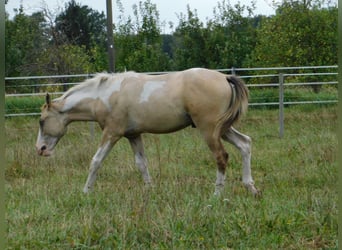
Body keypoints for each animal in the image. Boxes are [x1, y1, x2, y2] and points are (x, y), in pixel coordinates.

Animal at [35, 68, 260, 195]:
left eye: (42, 121)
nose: (40, 149)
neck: (105, 95)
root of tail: (225, 78)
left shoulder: (112, 133)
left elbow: (96, 161)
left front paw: (85, 192)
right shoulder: (133, 135)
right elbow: (141, 164)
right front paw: (150, 190)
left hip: (210, 130)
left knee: (222, 157)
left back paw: (217, 194)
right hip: (223, 129)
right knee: (245, 144)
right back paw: (250, 187)